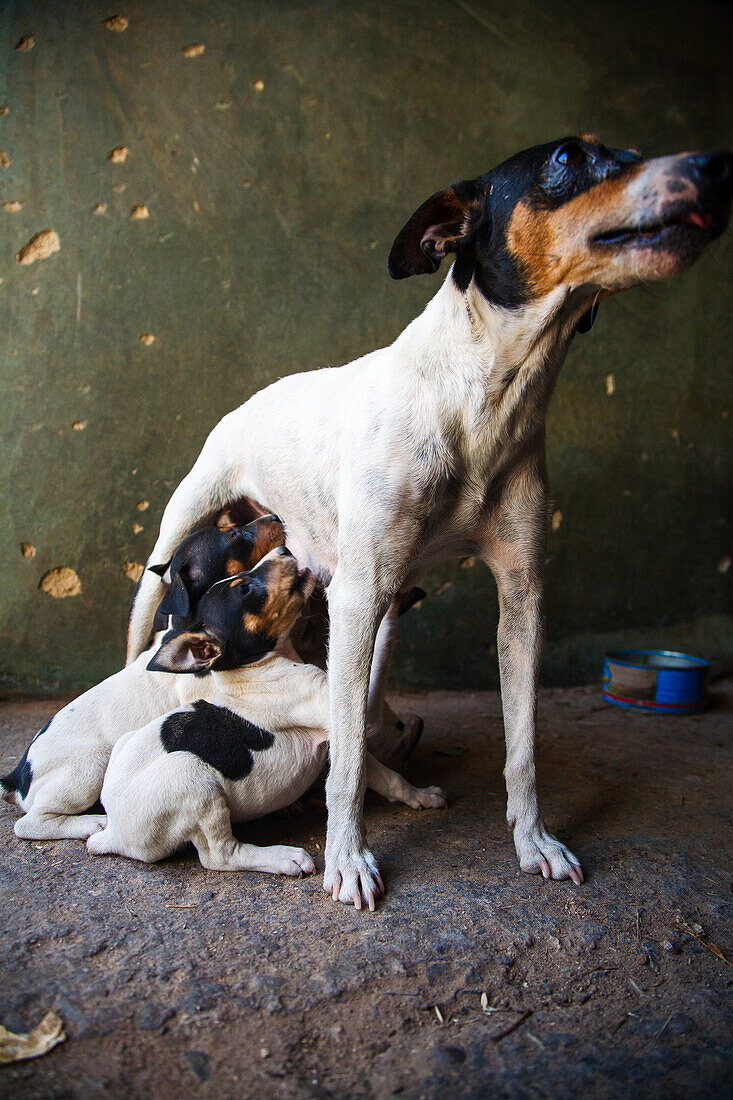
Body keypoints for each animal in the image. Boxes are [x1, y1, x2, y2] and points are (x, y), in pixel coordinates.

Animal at [0, 510, 286, 836]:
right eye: (236, 536)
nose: (276, 515)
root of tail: (18, 775)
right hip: (91, 764)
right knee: (31, 823)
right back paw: (91, 822)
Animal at [88, 545, 442, 880]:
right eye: (245, 589)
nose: (284, 548)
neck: (258, 666)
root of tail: (114, 830)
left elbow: (387, 777)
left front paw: (420, 796)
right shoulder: (337, 711)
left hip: (129, 745)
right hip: (191, 777)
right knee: (220, 855)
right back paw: (284, 858)